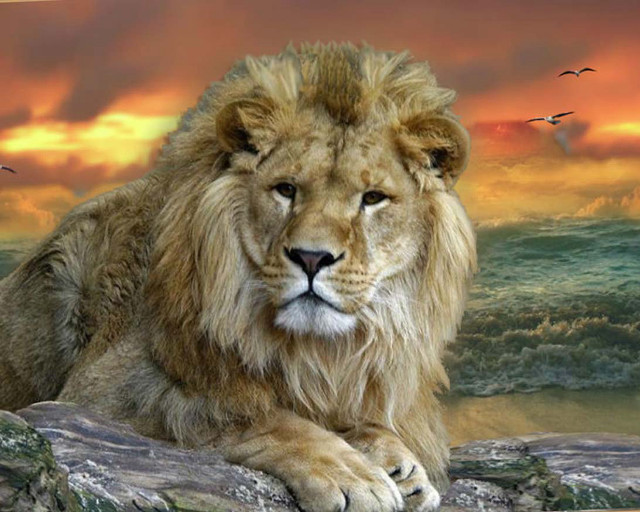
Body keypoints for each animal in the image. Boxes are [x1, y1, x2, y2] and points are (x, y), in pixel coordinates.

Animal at [0, 42, 476, 512]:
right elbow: (252, 415)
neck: (315, 348)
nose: (311, 257)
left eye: (373, 198)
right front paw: (351, 475)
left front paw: (401, 465)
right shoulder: (96, 394)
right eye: (286, 189)